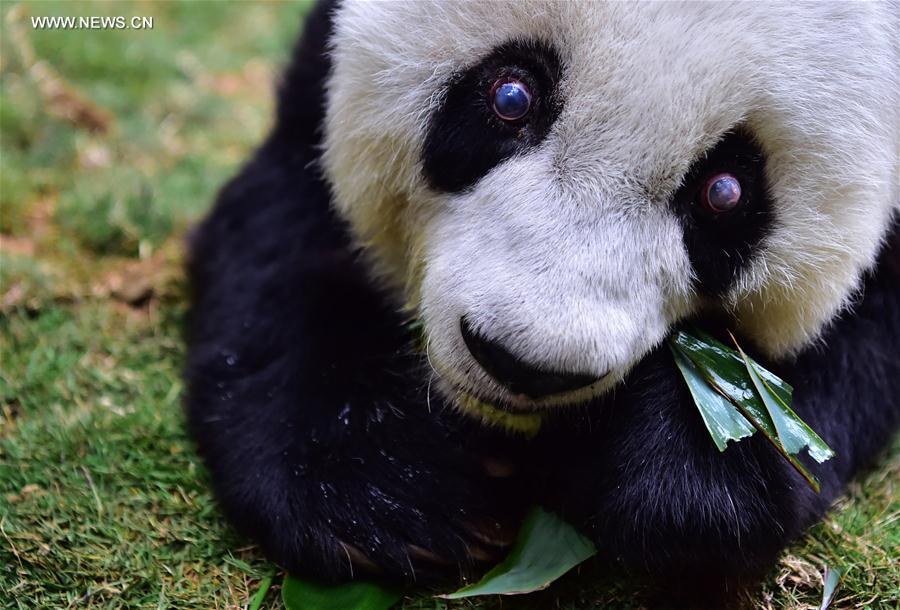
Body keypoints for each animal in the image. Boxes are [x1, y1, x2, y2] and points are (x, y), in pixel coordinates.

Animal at [186, 0, 900, 604]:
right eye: (511, 96)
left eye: (725, 192)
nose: (521, 363)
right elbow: (283, 239)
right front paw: (383, 491)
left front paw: (686, 477)